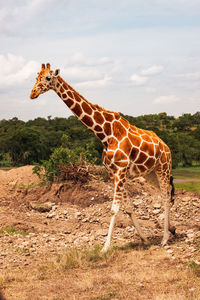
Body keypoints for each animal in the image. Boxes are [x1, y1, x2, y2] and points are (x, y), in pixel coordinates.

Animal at [30, 62, 175, 251]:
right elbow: (128, 207)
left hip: (163, 168)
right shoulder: (114, 171)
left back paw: (165, 239)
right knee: (166, 193)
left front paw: (105, 247)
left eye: (48, 78)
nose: (32, 93)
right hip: (151, 173)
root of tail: (166, 146)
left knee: (165, 197)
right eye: (36, 77)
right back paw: (170, 231)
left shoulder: (121, 168)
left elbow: (115, 208)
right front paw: (144, 239)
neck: (104, 133)